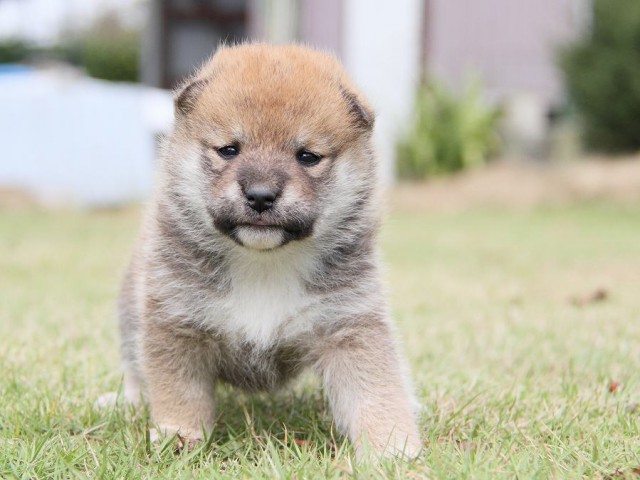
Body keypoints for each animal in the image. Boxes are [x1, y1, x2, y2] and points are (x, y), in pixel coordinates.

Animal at [108, 44, 422, 458]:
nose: (259, 195)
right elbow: (179, 392)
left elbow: (376, 388)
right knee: (133, 365)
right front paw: (179, 435)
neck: (263, 264)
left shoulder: (349, 325)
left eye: (307, 156)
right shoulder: (177, 323)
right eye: (229, 150)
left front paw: (393, 445)